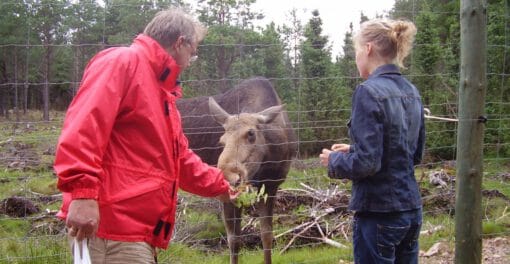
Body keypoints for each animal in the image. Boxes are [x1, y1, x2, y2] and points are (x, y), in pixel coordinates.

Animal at [177, 77, 296, 262]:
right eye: (222, 140)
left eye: (251, 134)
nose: (228, 176)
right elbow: (233, 240)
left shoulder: (271, 185)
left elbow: (267, 235)